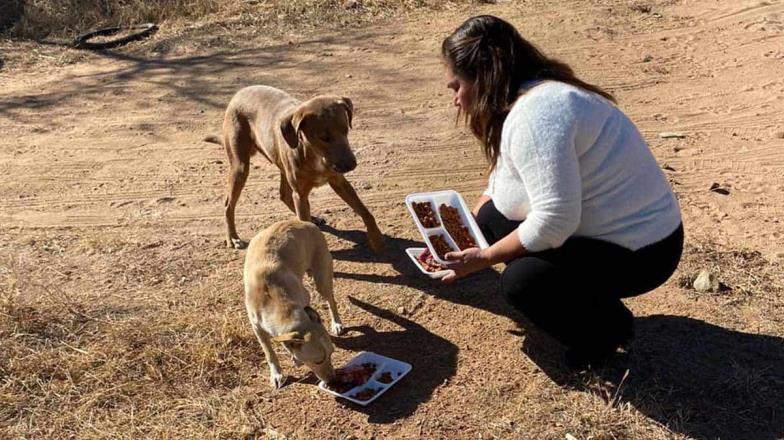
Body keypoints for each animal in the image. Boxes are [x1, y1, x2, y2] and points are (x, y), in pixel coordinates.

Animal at [205, 84, 382, 253]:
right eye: (323, 137)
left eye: (345, 130)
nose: (351, 164)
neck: (315, 156)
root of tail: (238, 93)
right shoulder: (300, 194)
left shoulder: (338, 181)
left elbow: (365, 211)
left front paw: (376, 238)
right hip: (240, 167)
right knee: (228, 204)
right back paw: (233, 237)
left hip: (281, 165)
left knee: (284, 195)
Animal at [243, 220, 344, 388]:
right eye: (318, 361)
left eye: (332, 353)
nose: (334, 380)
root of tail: (304, 222)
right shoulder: (257, 328)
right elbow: (269, 353)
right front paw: (277, 374)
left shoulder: (305, 298)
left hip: (321, 279)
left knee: (331, 301)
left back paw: (336, 323)